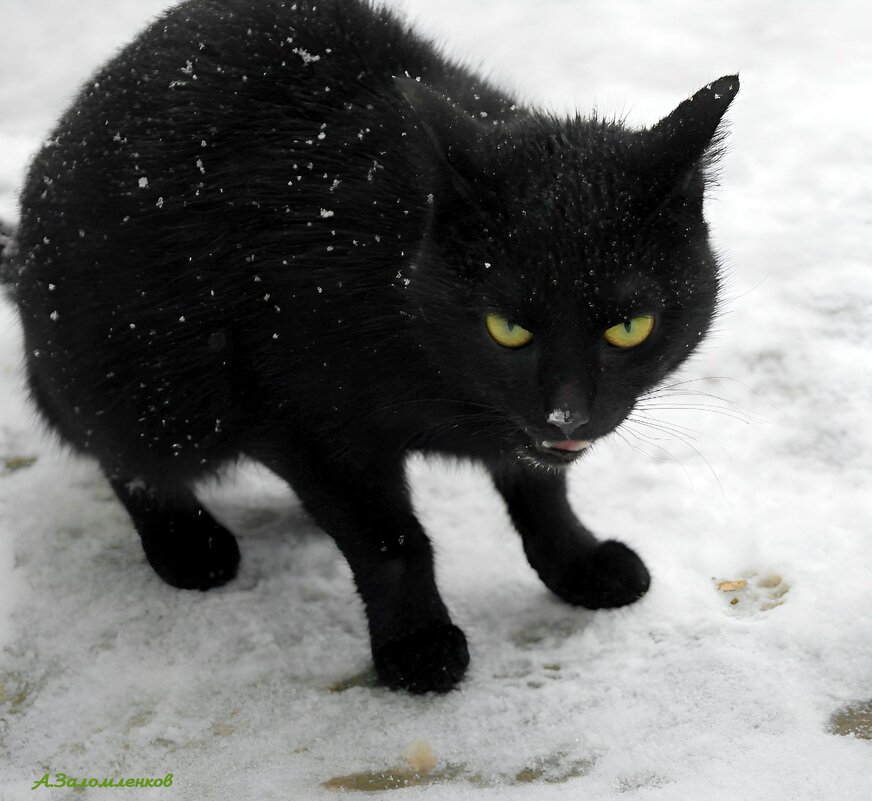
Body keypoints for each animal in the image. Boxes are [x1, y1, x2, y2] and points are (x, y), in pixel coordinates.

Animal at [10, 0, 740, 688]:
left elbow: (542, 491)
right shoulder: (300, 419)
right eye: (507, 328)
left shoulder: (519, 433)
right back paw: (188, 544)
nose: (568, 413)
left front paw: (577, 563)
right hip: (132, 381)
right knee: (121, 452)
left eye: (629, 327)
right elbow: (392, 543)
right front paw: (416, 646)